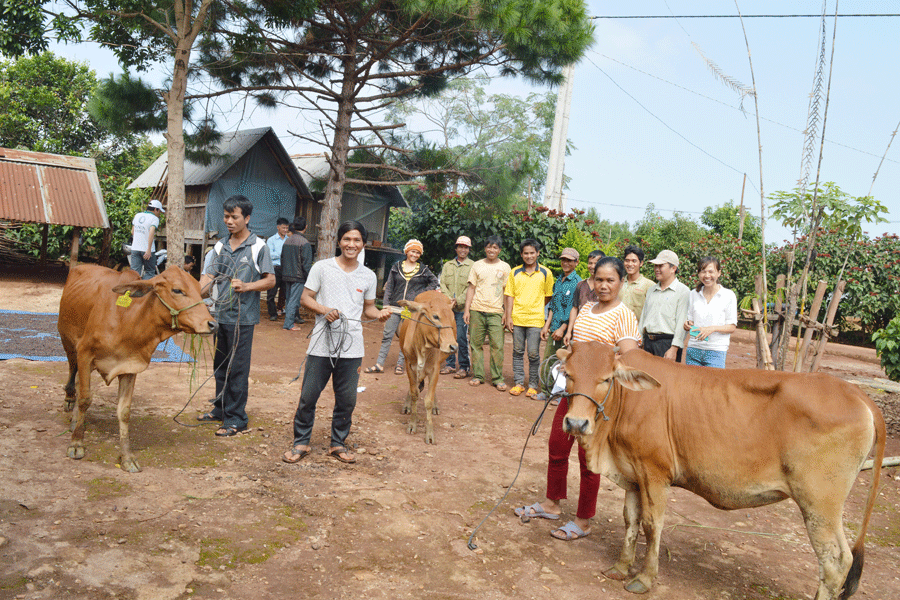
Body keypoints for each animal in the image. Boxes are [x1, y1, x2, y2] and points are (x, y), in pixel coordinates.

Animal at [57, 264, 216, 472]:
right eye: (177, 290)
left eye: (200, 291)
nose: (212, 324)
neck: (127, 320)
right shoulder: (84, 353)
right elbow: (85, 399)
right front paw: (76, 443)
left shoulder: (130, 366)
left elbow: (124, 412)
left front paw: (127, 457)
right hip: (68, 342)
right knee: (72, 372)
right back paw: (70, 401)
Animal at [560, 342, 884, 600]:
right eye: (568, 374)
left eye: (605, 379)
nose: (576, 423)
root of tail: (857, 394)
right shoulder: (632, 476)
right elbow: (630, 520)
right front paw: (620, 567)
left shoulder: (655, 474)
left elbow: (652, 524)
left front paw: (644, 578)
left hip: (820, 504)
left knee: (836, 561)